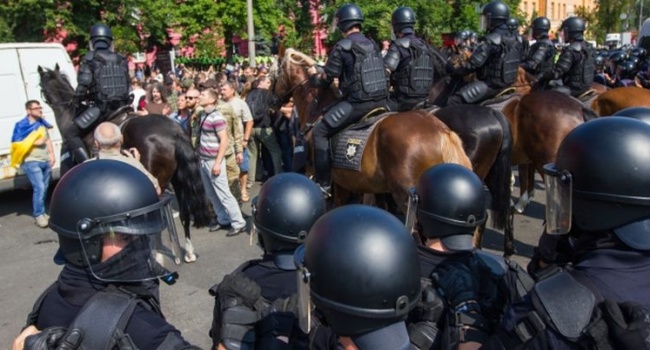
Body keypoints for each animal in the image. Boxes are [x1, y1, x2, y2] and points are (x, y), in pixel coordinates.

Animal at [270, 48, 468, 213]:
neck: (318, 108)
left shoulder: (316, 172)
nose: (271, 104)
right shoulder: (354, 185)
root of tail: (442, 131)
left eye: (274, 75)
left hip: (406, 196)